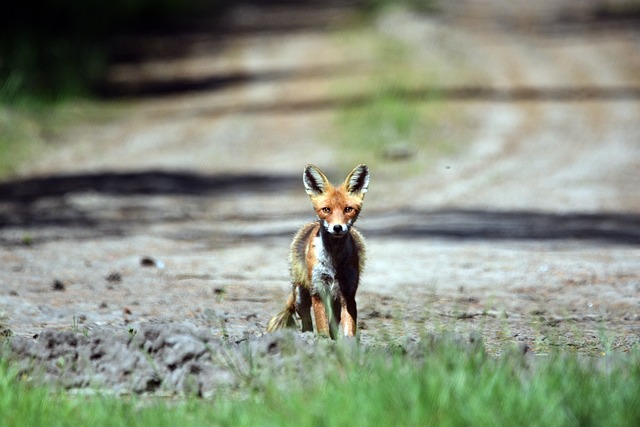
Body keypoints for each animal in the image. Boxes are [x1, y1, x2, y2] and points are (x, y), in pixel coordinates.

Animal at [264, 166, 368, 340]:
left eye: (348, 209)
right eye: (326, 210)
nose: (337, 227)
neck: (334, 259)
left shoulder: (348, 291)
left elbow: (349, 327)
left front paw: (348, 343)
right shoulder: (318, 289)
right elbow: (321, 324)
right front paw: (323, 341)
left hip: (334, 298)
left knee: (334, 320)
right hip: (301, 295)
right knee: (306, 321)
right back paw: (307, 336)